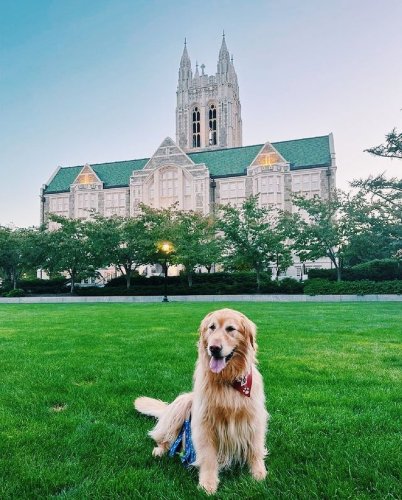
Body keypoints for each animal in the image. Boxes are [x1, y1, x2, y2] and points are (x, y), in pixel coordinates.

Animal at [133, 306, 268, 494]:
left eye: (231, 329)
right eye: (211, 327)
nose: (214, 348)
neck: (227, 381)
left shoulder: (254, 419)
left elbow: (255, 449)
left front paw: (259, 474)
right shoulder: (205, 425)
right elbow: (208, 457)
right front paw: (207, 484)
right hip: (182, 404)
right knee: (164, 438)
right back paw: (160, 451)